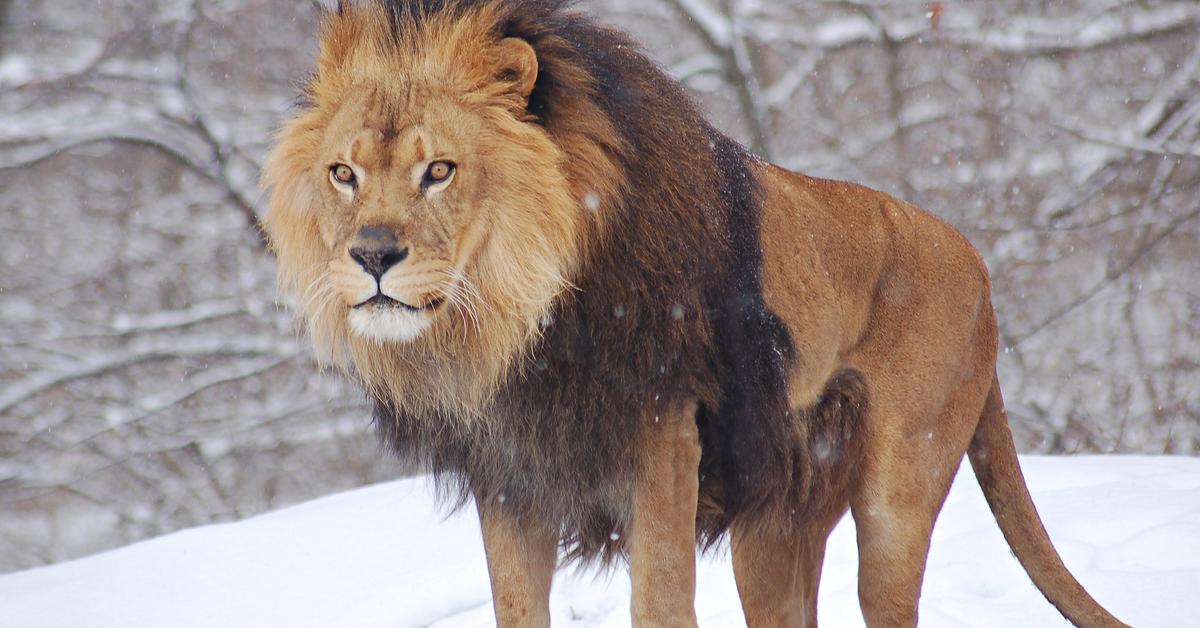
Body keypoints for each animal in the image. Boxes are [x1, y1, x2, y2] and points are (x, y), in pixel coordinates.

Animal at [260, 2, 1123, 624]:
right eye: (343, 174)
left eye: (439, 170)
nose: (372, 256)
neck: (518, 322)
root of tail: (977, 262)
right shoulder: (512, 476)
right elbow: (518, 608)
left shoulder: (663, 436)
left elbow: (661, 601)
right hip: (773, 526)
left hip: (896, 500)